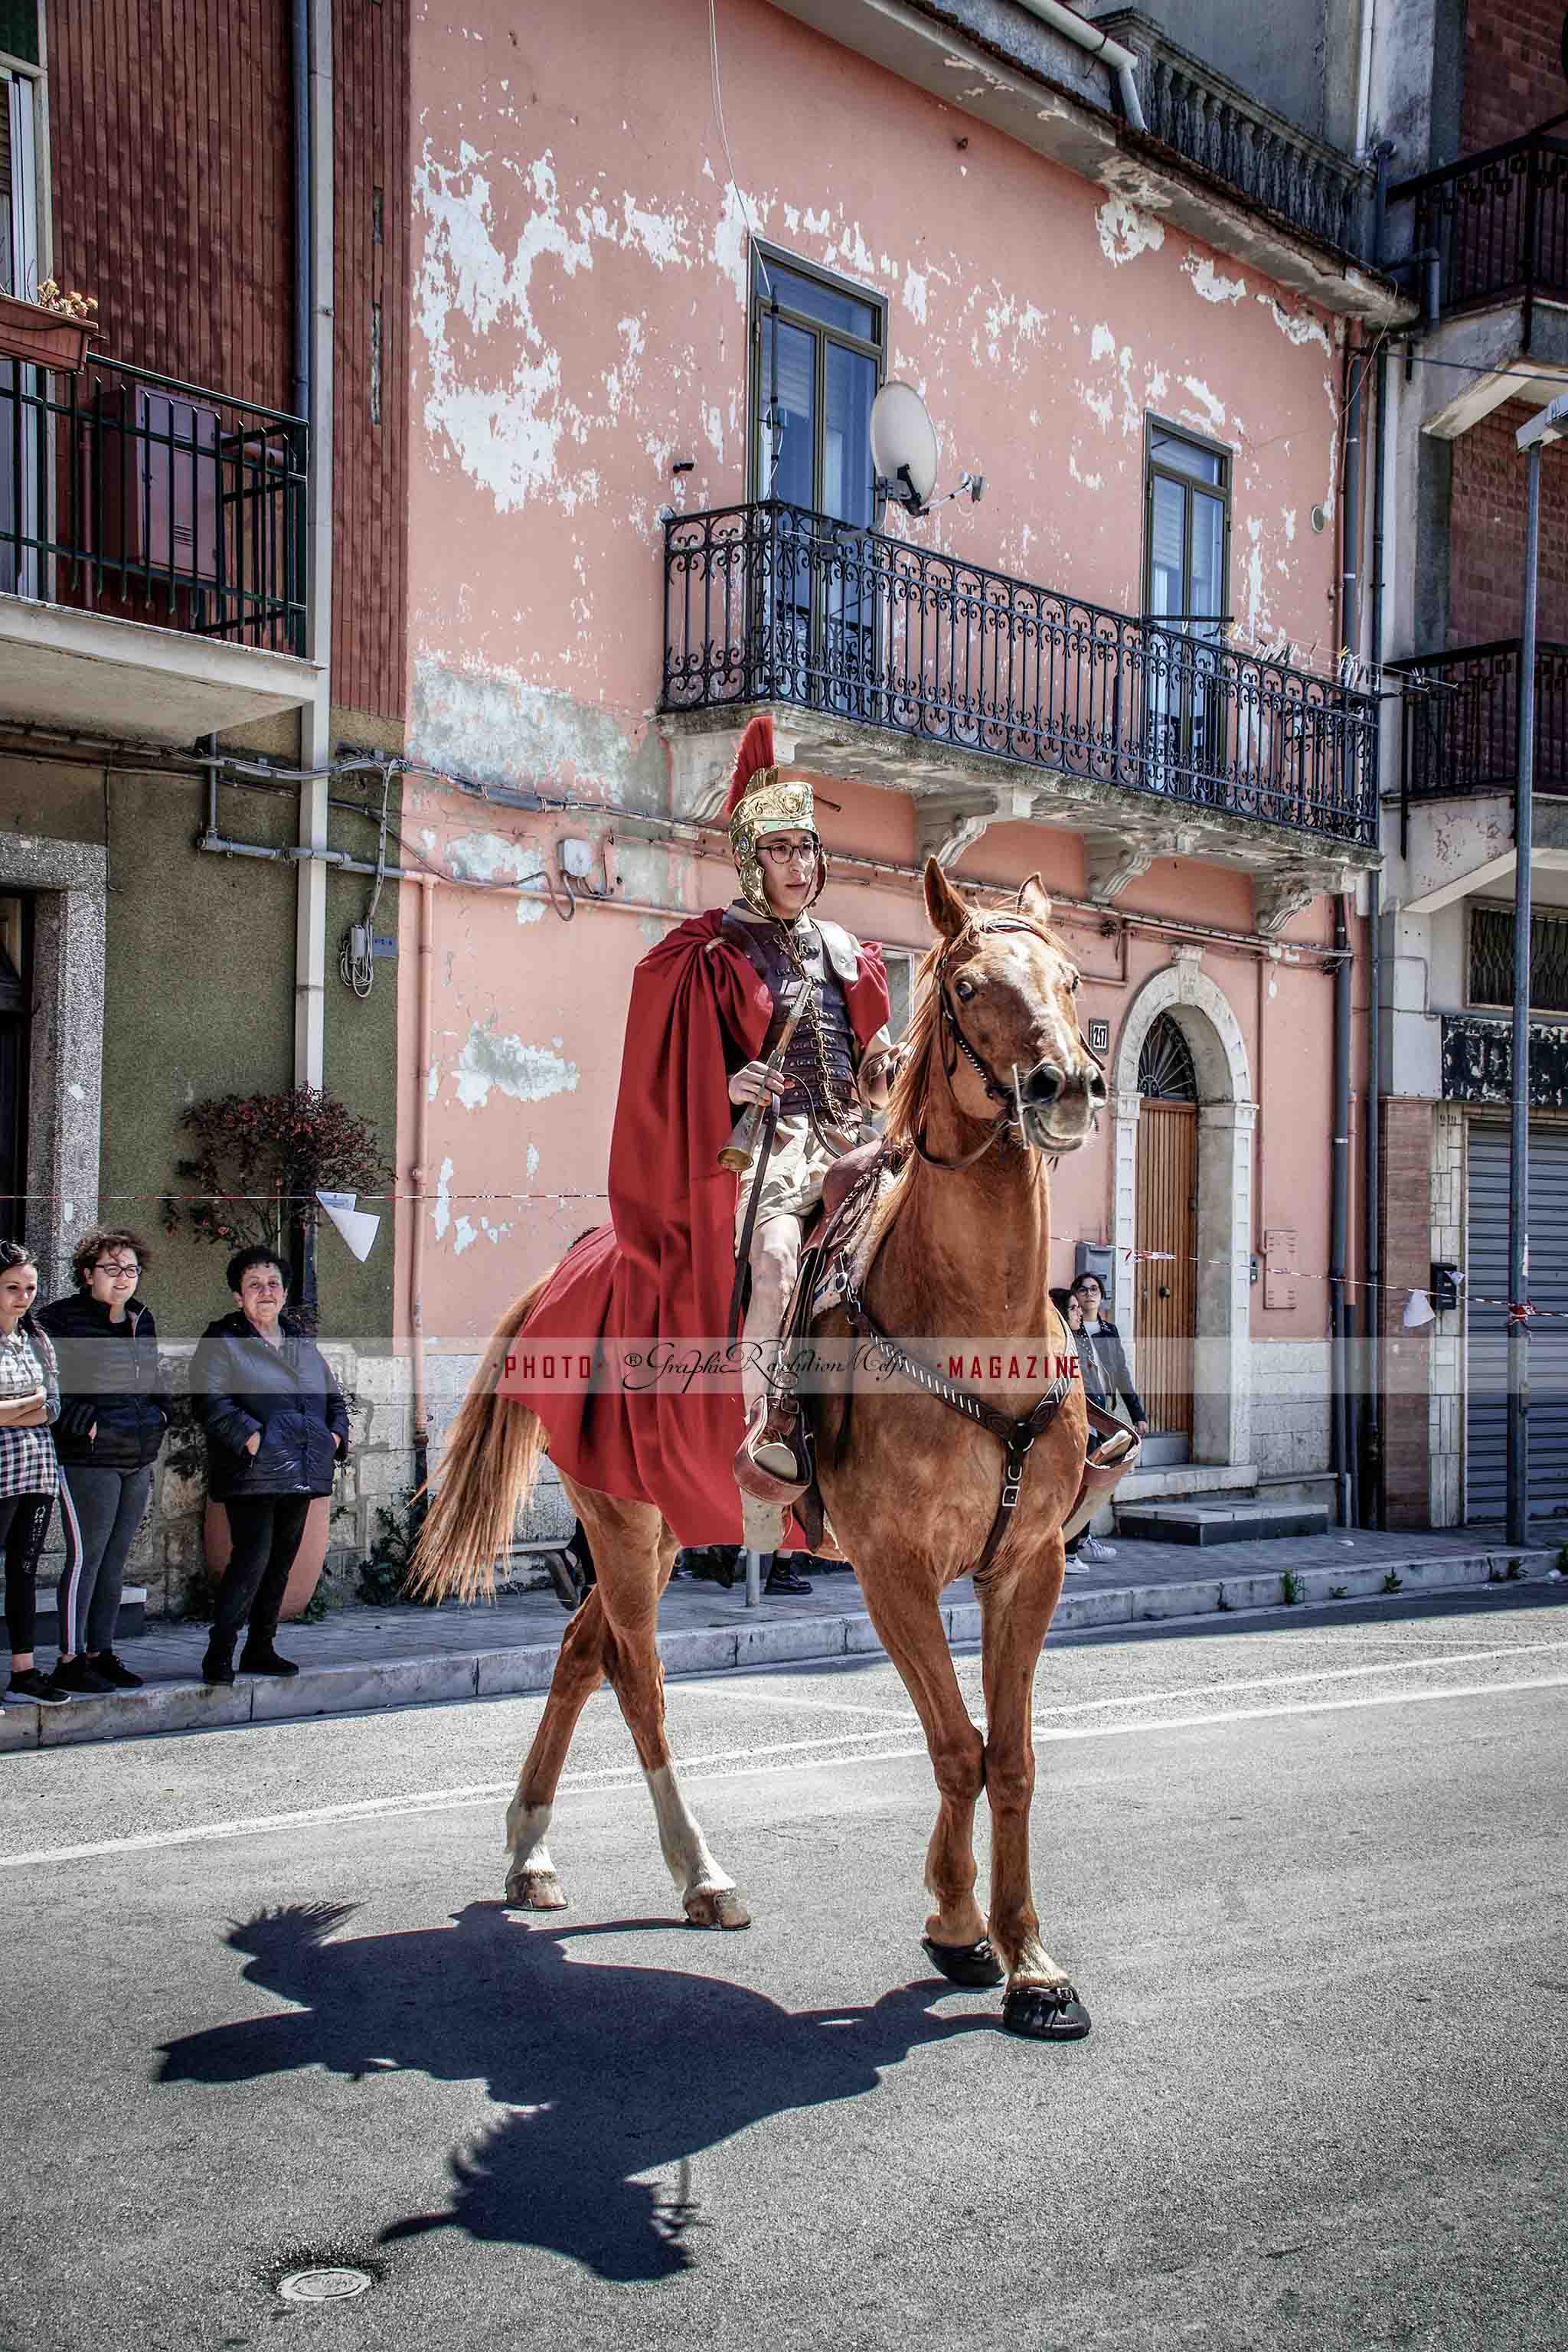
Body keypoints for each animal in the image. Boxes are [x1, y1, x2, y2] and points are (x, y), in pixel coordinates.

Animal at [411, 865, 1109, 2041]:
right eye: (966, 986)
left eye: (1066, 979)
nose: (1068, 1085)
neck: (973, 1318)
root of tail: (574, 1268)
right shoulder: (892, 1573)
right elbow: (955, 1747)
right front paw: (956, 1925)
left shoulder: (1028, 1567)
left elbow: (1008, 1760)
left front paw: (1028, 1960)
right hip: (618, 1521)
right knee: (638, 1682)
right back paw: (699, 1873)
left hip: (651, 1525)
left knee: (580, 1654)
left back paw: (532, 1849)